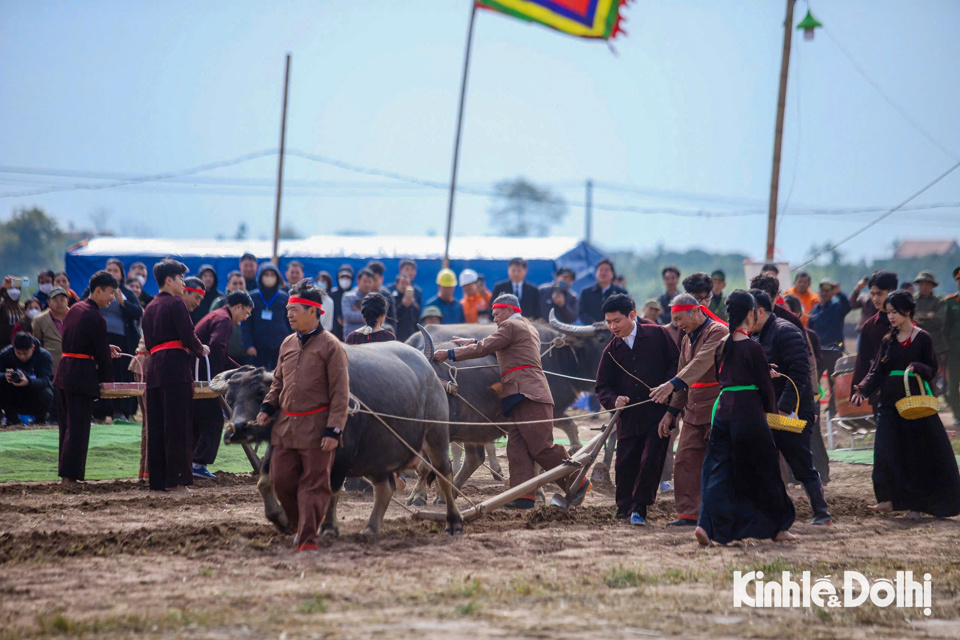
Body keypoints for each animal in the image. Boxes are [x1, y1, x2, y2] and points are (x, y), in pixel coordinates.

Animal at [216, 342, 464, 536]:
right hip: (377, 453)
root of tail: (431, 373)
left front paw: (328, 528)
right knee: (386, 487)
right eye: (230, 397)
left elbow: (331, 491)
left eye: (260, 393)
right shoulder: (279, 446)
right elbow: (265, 482)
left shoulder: (341, 454)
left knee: (445, 474)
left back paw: (454, 523)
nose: (237, 428)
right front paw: (283, 520)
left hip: (436, 436)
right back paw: (371, 528)